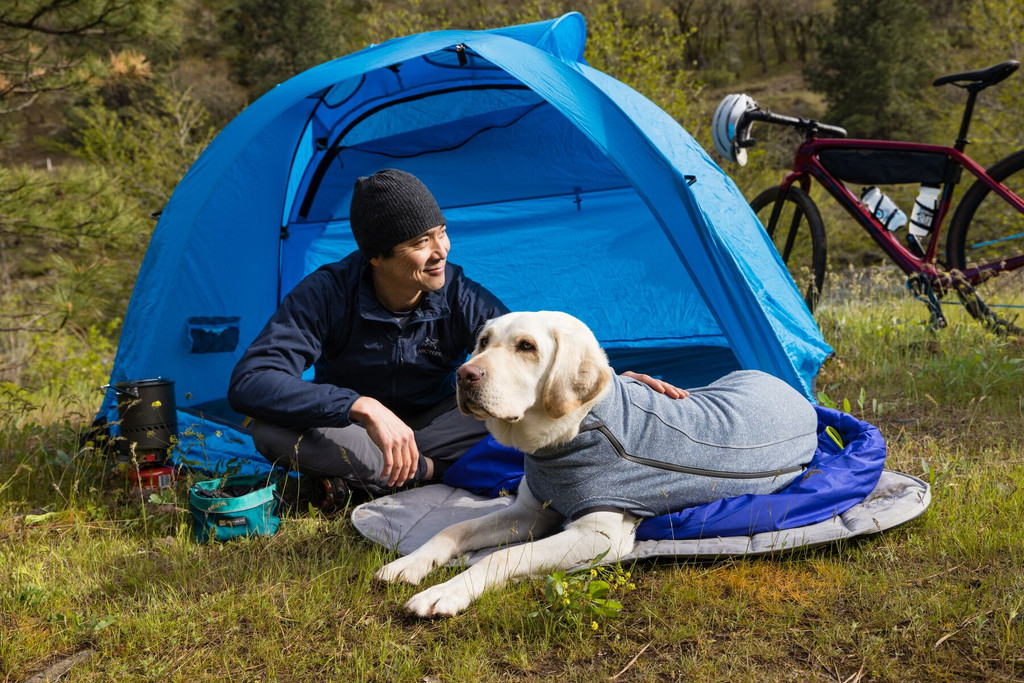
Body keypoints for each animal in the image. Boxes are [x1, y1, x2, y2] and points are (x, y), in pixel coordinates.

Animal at [376, 313, 815, 618]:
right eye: (483, 341)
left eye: (526, 346)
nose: (465, 375)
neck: (571, 432)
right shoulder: (531, 512)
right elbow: (454, 528)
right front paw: (408, 565)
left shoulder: (598, 534)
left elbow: (499, 556)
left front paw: (444, 592)